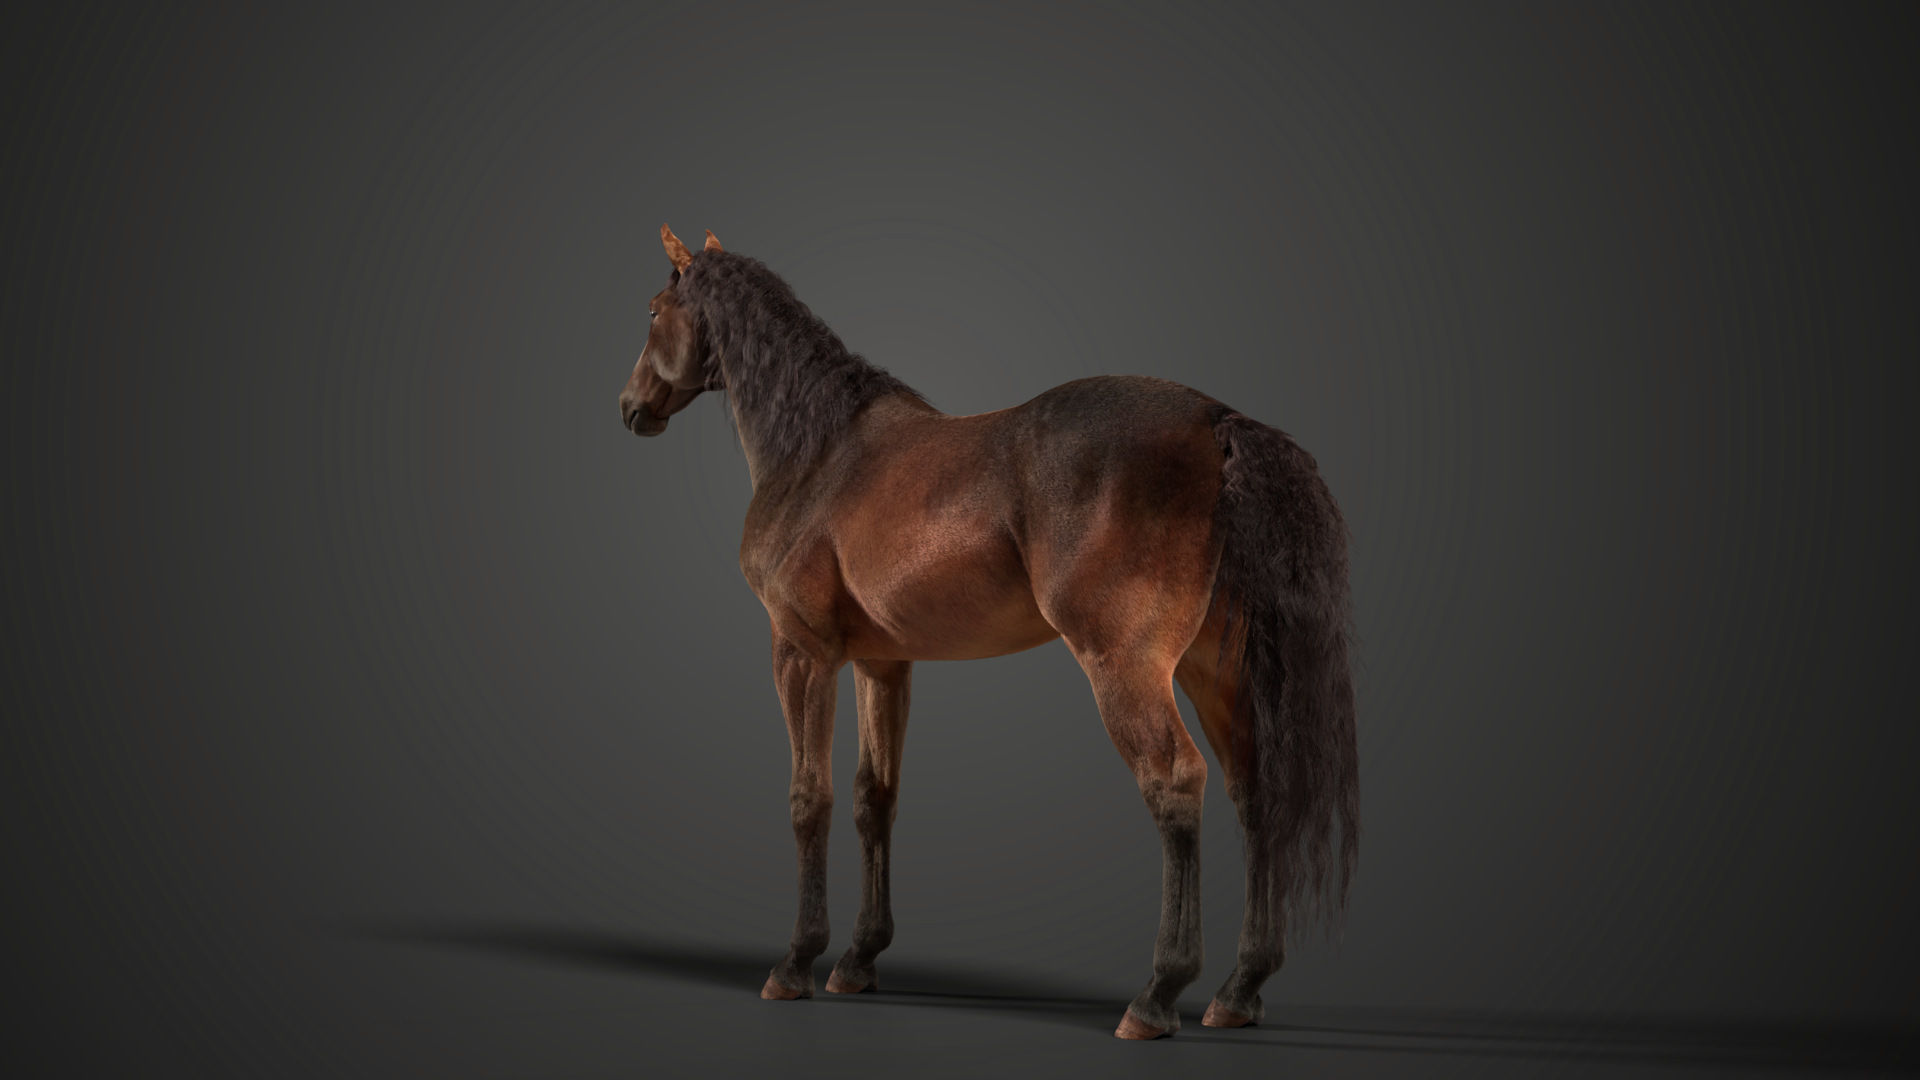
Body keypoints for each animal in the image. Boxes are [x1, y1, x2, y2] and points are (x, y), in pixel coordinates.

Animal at [617, 225, 1359, 1039]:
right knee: (1254, 791)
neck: (817, 454)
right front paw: (858, 960)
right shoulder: (883, 664)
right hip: (1213, 672)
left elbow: (808, 799)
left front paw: (796, 963)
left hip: (1127, 668)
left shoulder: (801, 652)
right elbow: (874, 797)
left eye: (653, 310)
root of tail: (1216, 422)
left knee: (1174, 781)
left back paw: (1158, 994)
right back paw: (1239, 989)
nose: (629, 407)